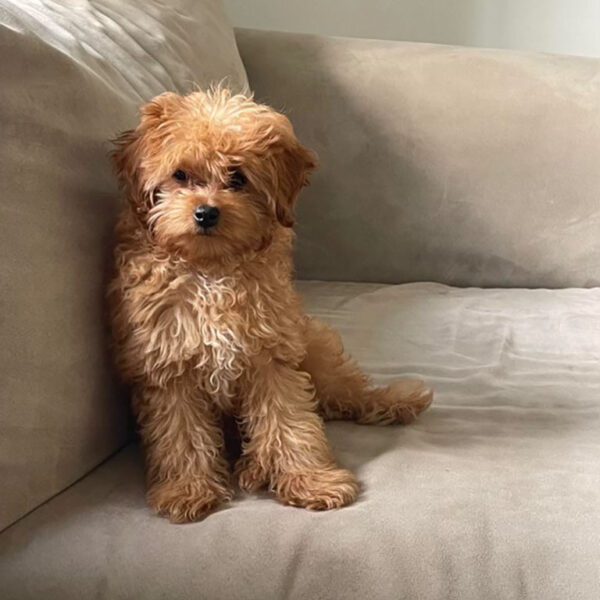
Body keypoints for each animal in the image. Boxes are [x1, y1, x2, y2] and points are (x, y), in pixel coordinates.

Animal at [109, 86, 432, 524]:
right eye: (180, 175)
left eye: (238, 178)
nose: (206, 213)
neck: (212, 270)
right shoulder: (167, 365)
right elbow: (181, 435)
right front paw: (187, 488)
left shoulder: (271, 355)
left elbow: (290, 422)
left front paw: (311, 479)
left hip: (314, 348)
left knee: (346, 391)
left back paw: (393, 401)